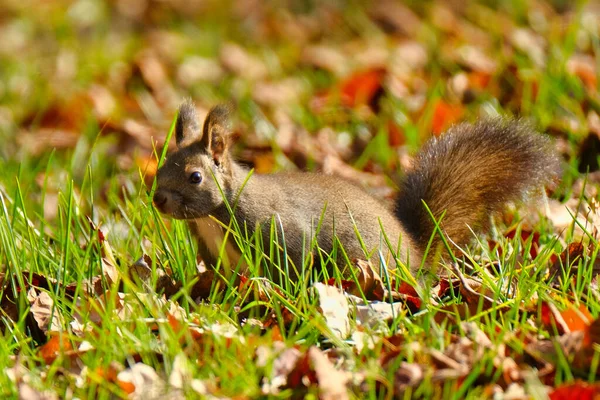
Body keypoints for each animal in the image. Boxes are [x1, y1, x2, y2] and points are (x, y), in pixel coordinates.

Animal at [152, 99, 560, 282]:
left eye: (195, 177)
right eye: (160, 166)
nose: (158, 199)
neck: (214, 216)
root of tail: (415, 254)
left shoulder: (275, 227)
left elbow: (292, 262)